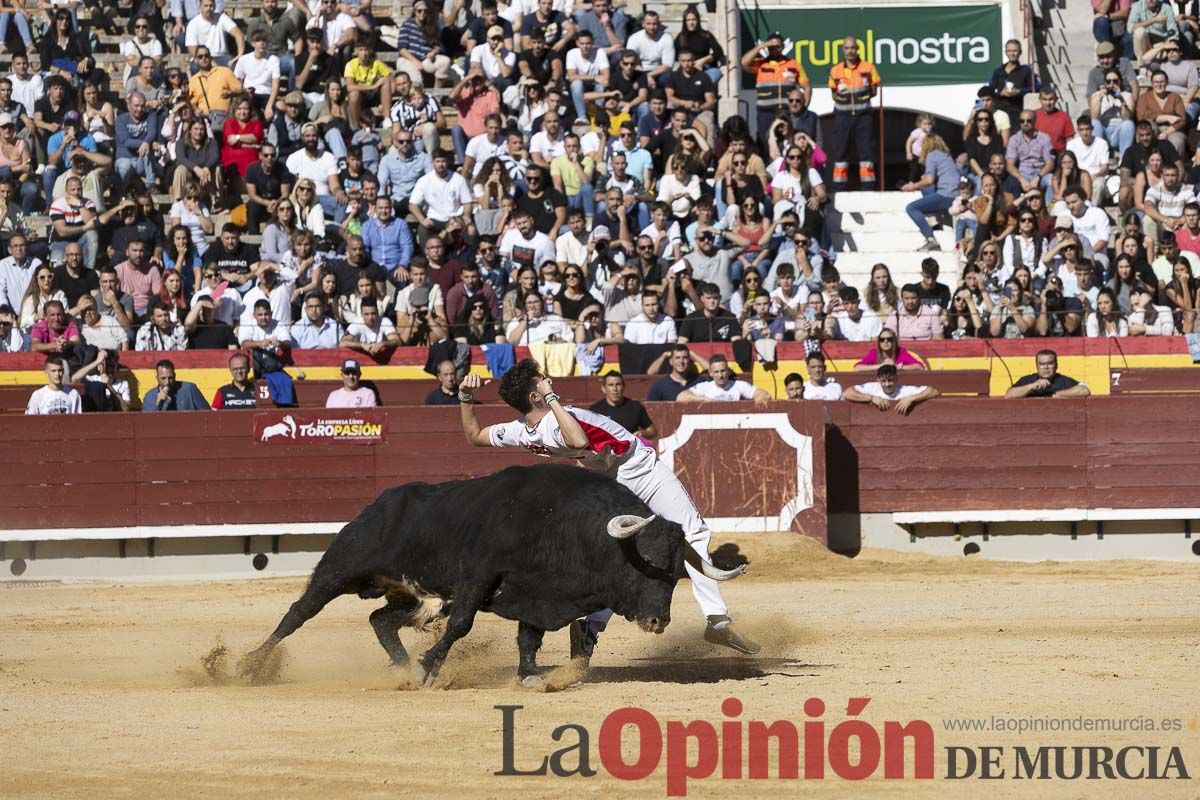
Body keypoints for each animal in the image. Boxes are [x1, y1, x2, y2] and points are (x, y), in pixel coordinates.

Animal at [241, 465, 700, 686]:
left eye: (677, 575)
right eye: (642, 564)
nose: (658, 621)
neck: (560, 524)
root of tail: (379, 502)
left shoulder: (538, 592)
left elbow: (529, 638)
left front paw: (530, 676)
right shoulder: (478, 578)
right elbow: (461, 624)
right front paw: (428, 668)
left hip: (408, 592)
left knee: (380, 620)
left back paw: (401, 669)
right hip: (339, 568)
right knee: (297, 613)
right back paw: (248, 665)